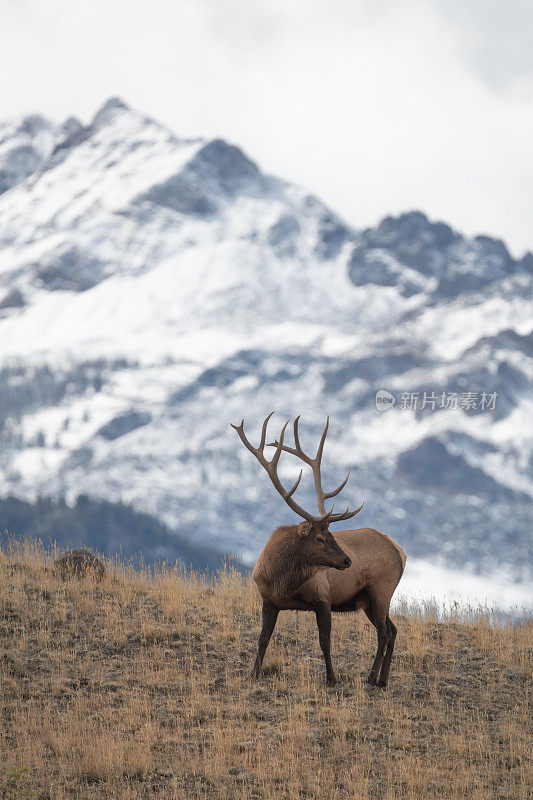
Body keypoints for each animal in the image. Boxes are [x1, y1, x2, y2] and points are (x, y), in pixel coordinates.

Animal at [231, 412, 406, 688]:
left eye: (332, 535)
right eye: (321, 538)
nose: (347, 561)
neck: (281, 581)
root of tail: (400, 552)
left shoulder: (323, 597)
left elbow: (325, 641)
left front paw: (331, 678)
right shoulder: (268, 600)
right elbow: (263, 638)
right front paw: (254, 672)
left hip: (381, 590)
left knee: (384, 633)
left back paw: (371, 678)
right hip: (369, 599)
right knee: (393, 630)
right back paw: (383, 679)